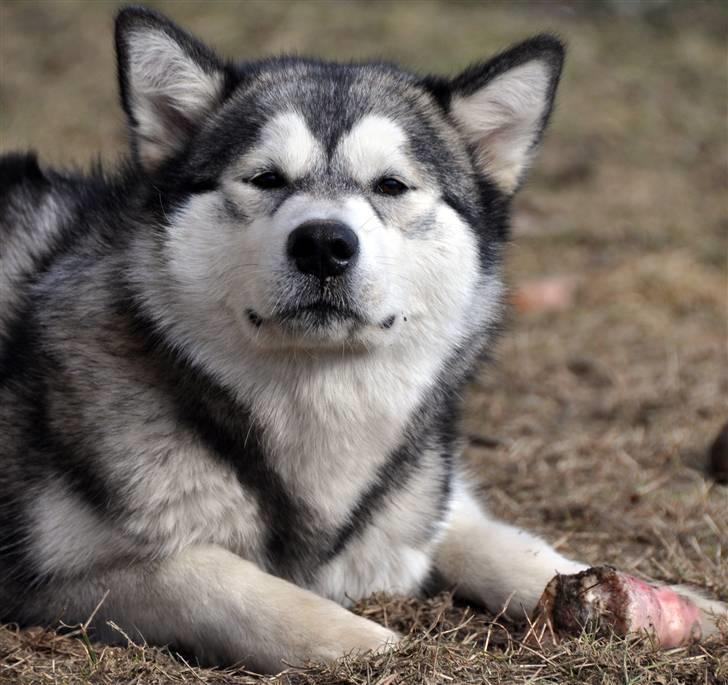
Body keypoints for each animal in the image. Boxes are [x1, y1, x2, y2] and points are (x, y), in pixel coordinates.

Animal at [2, 2, 724, 672]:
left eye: (391, 185)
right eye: (266, 178)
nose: (323, 243)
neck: (319, 405)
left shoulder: (426, 497)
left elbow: (510, 544)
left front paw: (684, 604)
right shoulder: (54, 581)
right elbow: (218, 580)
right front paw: (373, 646)